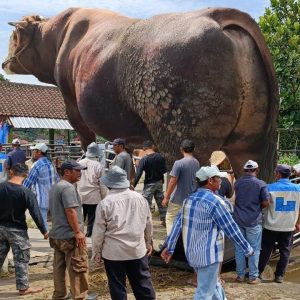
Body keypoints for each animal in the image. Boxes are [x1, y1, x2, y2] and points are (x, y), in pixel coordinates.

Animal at [2, 7, 278, 180]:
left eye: (14, 36)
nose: (5, 62)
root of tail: (216, 16)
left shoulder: (74, 109)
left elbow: (88, 145)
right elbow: (128, 163)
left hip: (184, 137)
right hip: (251, 144)